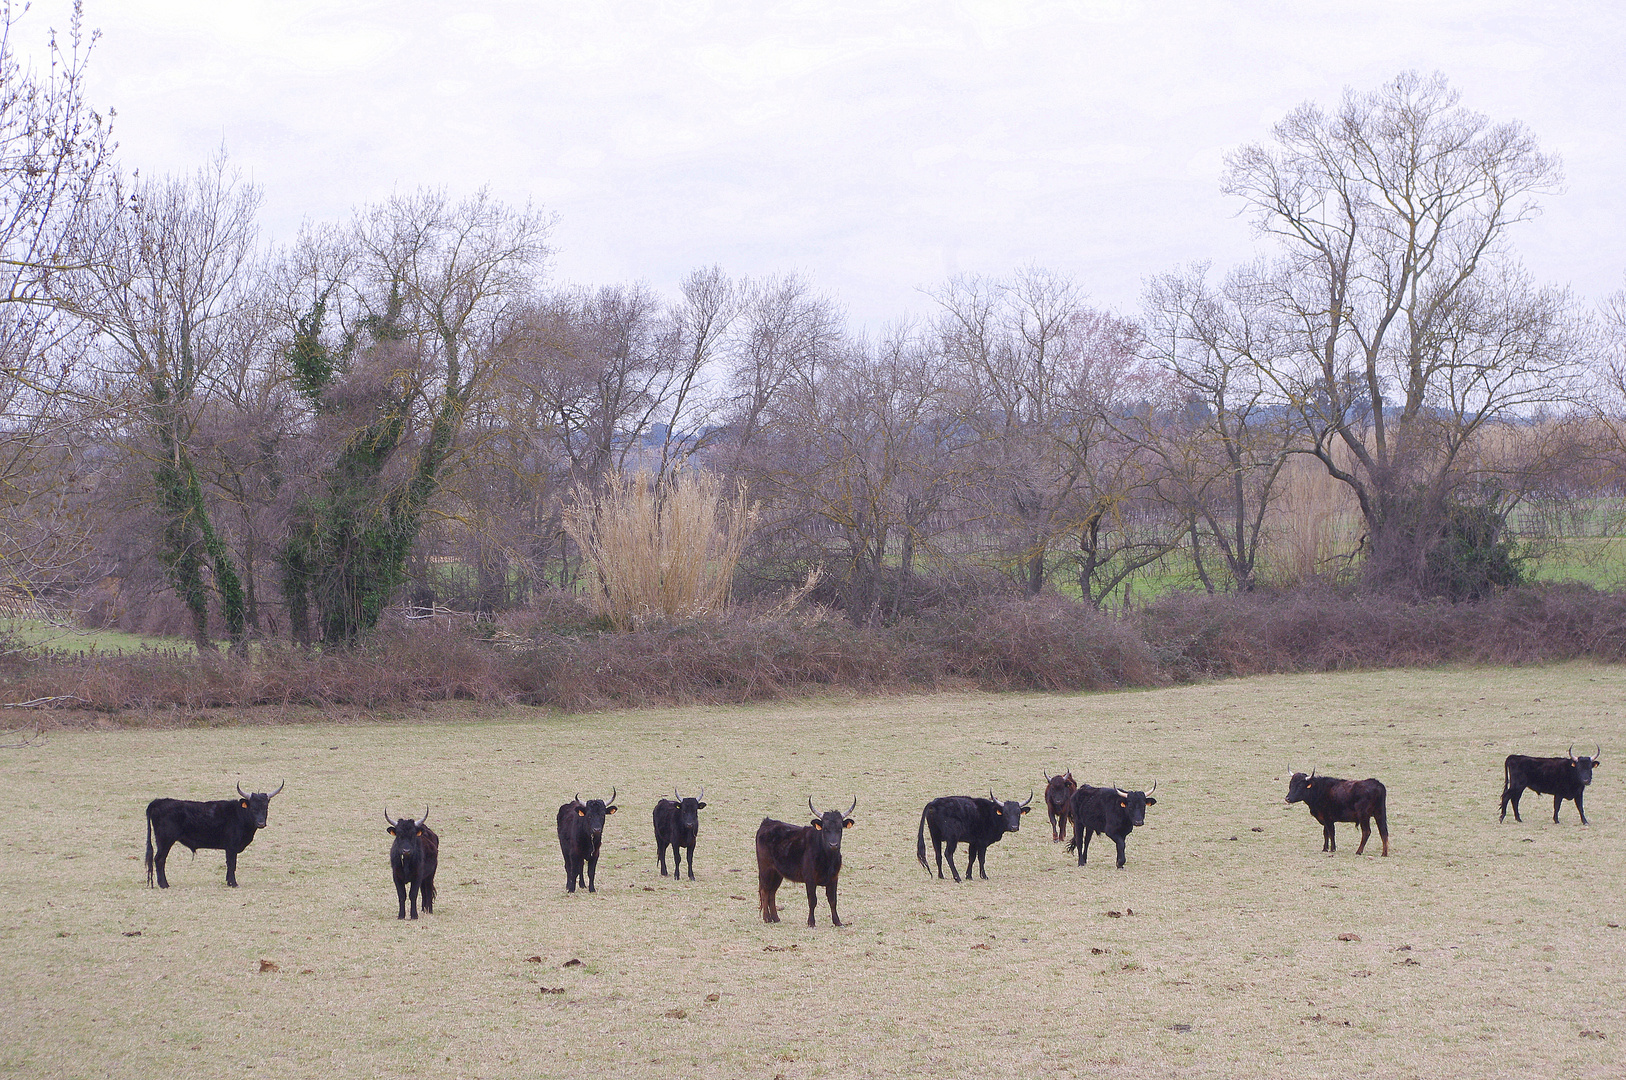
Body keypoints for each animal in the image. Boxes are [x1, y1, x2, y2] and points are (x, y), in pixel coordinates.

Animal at [144, 780, 284, 891]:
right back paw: (164, 885)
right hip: (165, 840)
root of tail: (158, 802)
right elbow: (232, 863)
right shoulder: (231, 846)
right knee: (159, 859)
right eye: (253, 808)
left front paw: (228, 882)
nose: (261, 823)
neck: (239, 815)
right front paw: (233, 883)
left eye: (266, 808)